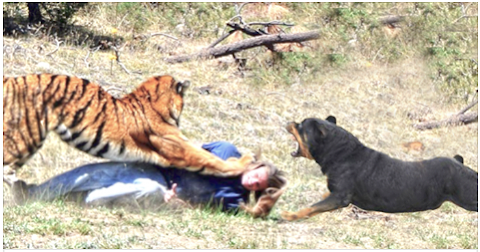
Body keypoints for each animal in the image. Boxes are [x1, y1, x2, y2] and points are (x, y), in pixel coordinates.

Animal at [282, 116, 476, 220]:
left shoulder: (339, 197)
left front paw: (290, 215)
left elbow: (311, 207)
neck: (341, 153)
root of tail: (459, 163)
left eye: (300, 126)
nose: (289, 122)